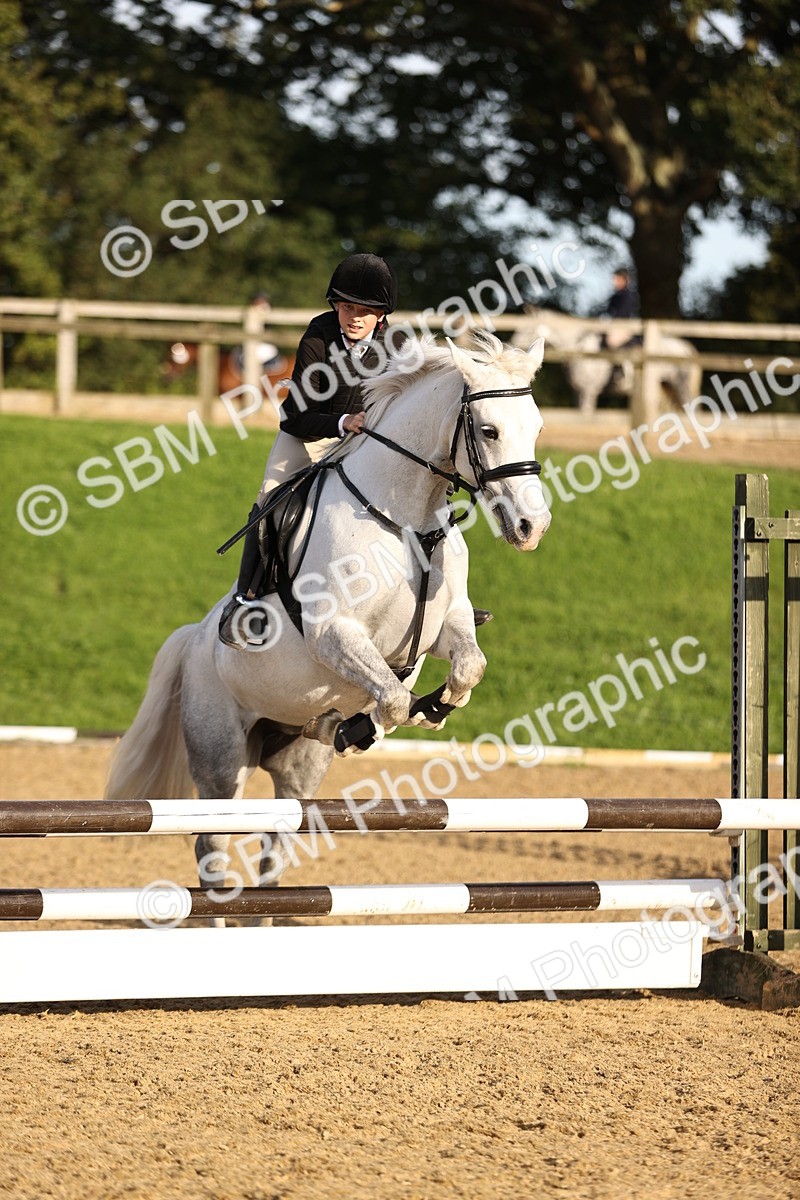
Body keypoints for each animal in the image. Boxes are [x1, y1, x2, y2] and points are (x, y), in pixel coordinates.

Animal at [106, 331, 551, 903]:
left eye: (536, 428)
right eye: (489, 430)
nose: (531, 526)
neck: (405, 517)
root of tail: (195, 640)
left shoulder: (446, 625)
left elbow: (465, 668)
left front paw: (430, 708)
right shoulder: (335, 633)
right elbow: (393, 698)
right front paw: (374, 721)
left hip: (295, 767)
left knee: (277, 842)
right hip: (221, 759)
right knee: (213, 849)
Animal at [516, 307, 702, 420]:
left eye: (528, 327)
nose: (513, 344)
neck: (580, 347)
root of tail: (685, 347)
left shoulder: (588, 390)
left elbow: (586, 412)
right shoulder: (579, 391)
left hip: (680, 383)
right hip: (667, 386)